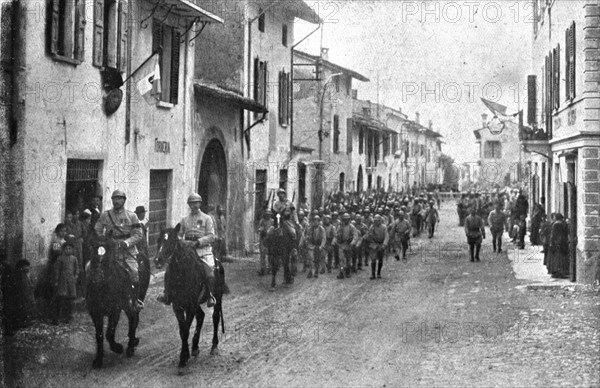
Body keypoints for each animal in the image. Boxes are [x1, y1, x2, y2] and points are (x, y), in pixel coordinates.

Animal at [86, 232, 150, 368]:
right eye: (93, 254)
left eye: (108, 256)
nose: (97, 278)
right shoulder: (95, 312)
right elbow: (99, 335)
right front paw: (98, 360)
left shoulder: (115, 311)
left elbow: (109, 333)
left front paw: (117, 348)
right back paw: (133, 341)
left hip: (134, 300)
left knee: (133, 319)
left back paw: (130, 347)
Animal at [156, 223, 226, 368]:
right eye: (158, 240)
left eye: (171, 241)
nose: (157, 260)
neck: (181, 274)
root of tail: (218, 262)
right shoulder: (178, 305)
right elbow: (183, 330)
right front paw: (186, 355)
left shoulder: (190, 306)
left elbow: (186, 329)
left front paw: (183, 358)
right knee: (201, 316)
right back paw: (195, 348)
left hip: (217, 297)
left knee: (215, 317)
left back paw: (214, 346)